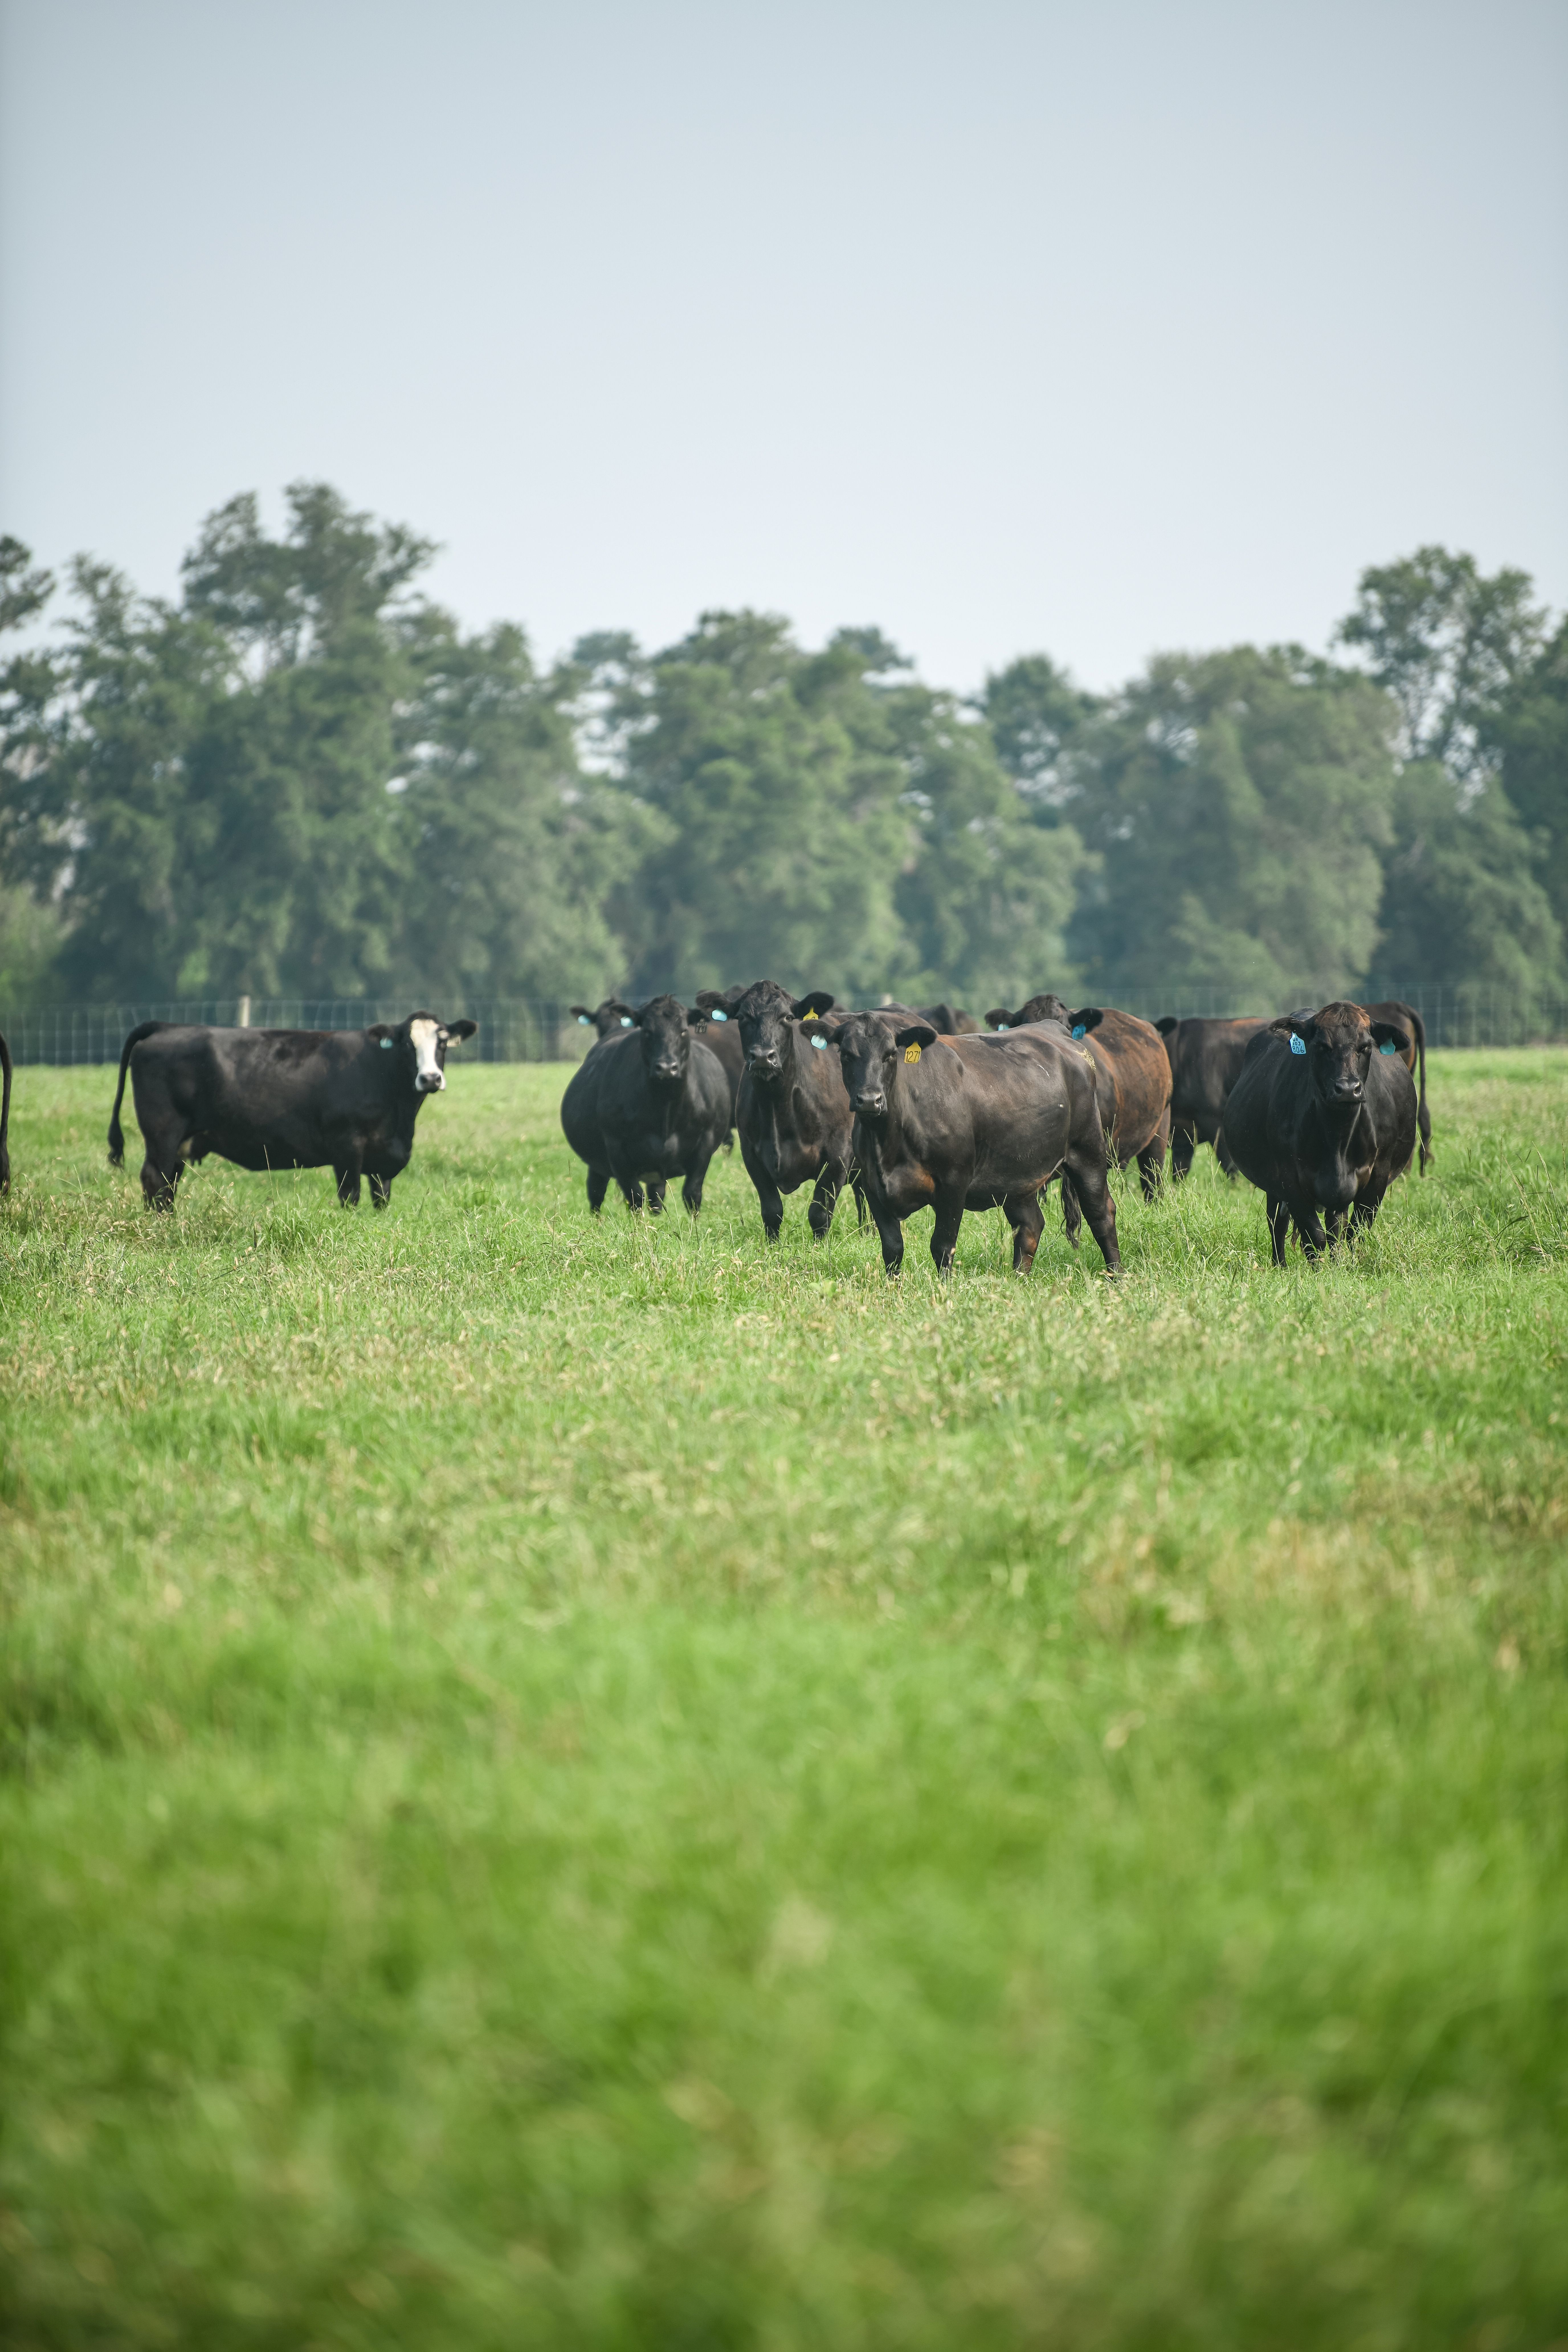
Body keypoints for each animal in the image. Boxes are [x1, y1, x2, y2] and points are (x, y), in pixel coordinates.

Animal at [106, 1012, 478, 1210]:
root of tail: (167, 1026)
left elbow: (380, 1199)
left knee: (168, 1184)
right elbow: (350, 1196)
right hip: (163, 1132)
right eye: (407, 1045)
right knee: (155, 1179)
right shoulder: (347, 1145)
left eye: (442, 1043)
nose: (430, 1078)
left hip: (182, 1142)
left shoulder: (383, 1156)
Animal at [559, 994, 730, 1215]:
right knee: (597, 1192)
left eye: (684, 1030)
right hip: (598, 1162)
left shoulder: (706, 1142)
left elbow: (692, 1194)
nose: (667, 1068)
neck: (666, 1108)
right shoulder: (616, 1147)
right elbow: (634, 1196)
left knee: (656, 1197)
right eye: (648, 1031)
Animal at [816, 1011, 1120, 1276]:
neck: (888, 1143)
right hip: (1017, 1173)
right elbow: (892, 1249)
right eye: (846, 1055)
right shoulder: (872, 1186)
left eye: (891, 1054)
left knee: (1101, 1213)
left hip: (1088, 1151)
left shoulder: (954, 1182)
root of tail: (1054, 1029)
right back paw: (1019, 1279)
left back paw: (1116, 1276)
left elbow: (942, 1246)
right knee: (1030, 1225)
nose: (870, 1100)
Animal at [1220, 1001, 1417, 1264]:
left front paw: (1346, 1266)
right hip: (1274, 1185)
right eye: (1322, 1046)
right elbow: (1314, 1237)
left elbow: (1354, 1234)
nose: (1348, 1089)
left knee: (1335, 1228)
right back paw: (1280, 1266)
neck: (1338, 1139)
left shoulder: (1378, 1177)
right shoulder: (1289, 1179)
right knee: (1278, 1224)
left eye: (1366, 1047)